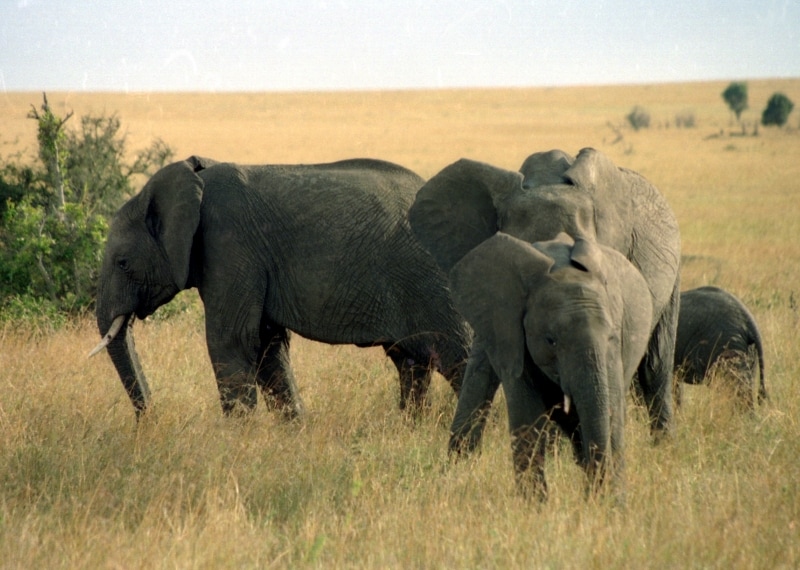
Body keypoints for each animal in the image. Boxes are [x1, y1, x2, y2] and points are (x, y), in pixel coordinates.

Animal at [91, 156, 472, 419]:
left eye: (122, 263)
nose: (149, 421)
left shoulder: (230, 246)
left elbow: (232, 341)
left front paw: (236, 443)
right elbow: (267, 345)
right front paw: (293, 433)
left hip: (432, 281)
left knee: (459, 355)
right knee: (411, 362)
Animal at [449, 232, 653, 498]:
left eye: (611, 336)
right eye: (551, 340)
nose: (597, 495)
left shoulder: (615, 351)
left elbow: (611, 414)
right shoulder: (512, 336)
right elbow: (527, 414)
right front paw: (534, 505)